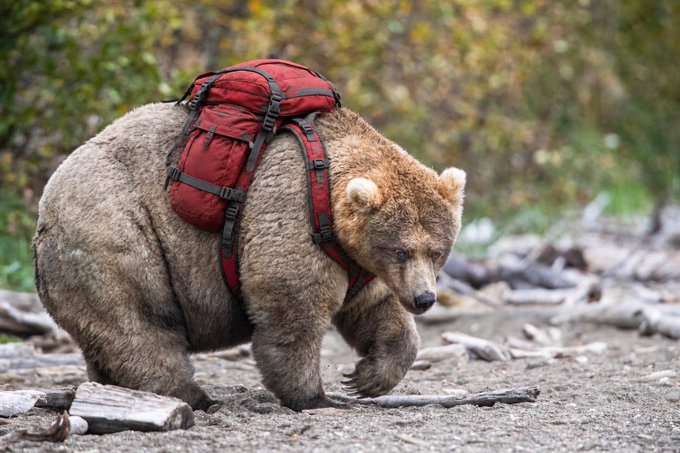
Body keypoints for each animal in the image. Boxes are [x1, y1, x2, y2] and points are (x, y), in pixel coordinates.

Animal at [33, 102, 466, 411]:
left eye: (437, 250)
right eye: (401, 249)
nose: (424, 299)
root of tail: (44, 207)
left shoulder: (361, 264)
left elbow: (375, 310)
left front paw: (365, 378)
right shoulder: (292, 214)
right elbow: (291, 309)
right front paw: (315, 396)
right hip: (115, 233)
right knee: (140, 321)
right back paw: (193, 396)